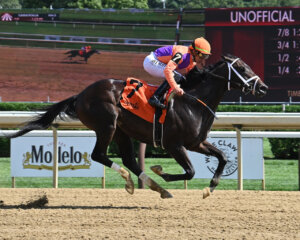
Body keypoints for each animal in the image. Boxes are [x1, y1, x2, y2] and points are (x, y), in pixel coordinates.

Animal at [8, 54, 268, 199]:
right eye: (242, 68)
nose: (264, 87)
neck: (193, 101)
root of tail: (80, 95)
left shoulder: (197, 142)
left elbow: (222, 157)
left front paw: (210, 188)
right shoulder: (174, 145)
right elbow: (191, 171)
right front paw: (162, 171)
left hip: (122, 131)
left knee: (129, 160)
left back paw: (156, 188)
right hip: (107, 125)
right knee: (99, 155)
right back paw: (135, 181)